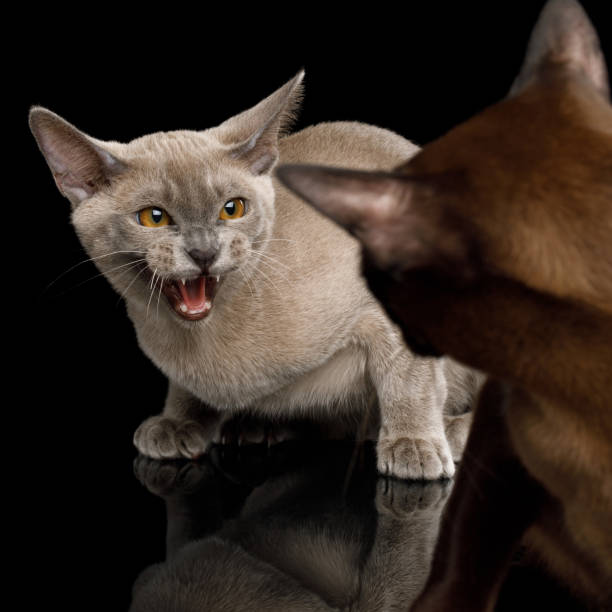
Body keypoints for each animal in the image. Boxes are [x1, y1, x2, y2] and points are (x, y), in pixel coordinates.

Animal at [28, 68, 482, 478]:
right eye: (153, 218)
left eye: (233, 209)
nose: (204, 251)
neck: (201, 343)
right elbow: (184, 390)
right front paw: (178, 423)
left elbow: (408, 382)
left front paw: (413, 446)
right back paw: (255, 427)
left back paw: (451, 433)